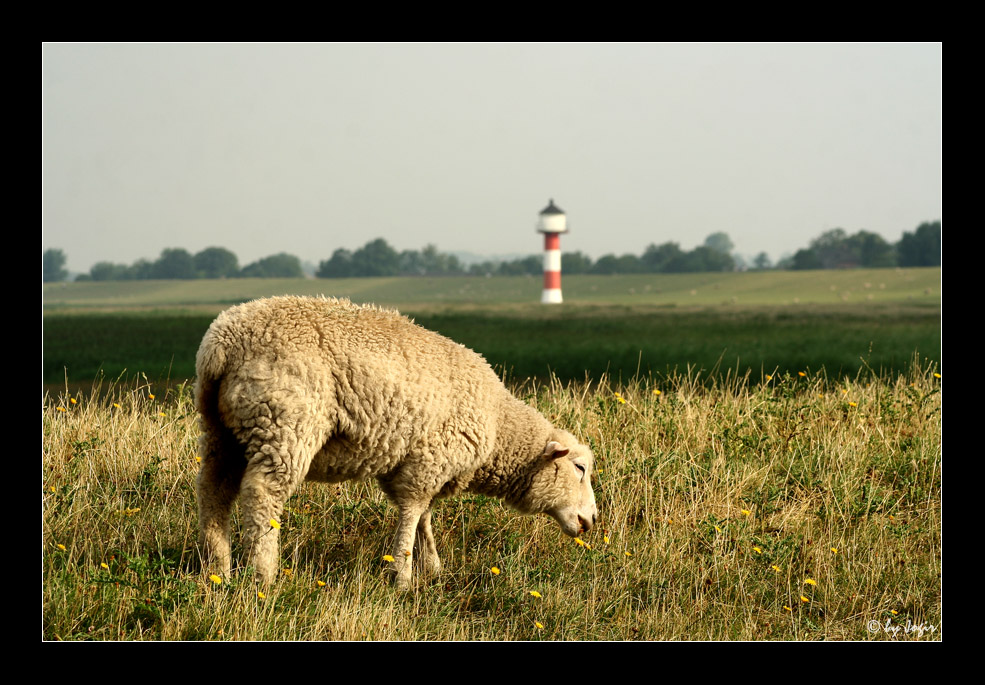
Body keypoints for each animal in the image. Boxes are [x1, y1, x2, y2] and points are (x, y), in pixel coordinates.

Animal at [191, 294, 592, 588]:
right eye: (580, 468)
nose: (591, 520)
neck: (498, 424)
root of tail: (222, 344)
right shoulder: (429, 460)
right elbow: (413, 512)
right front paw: (403, 575)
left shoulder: (416, 464)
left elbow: (425, 517)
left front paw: (431, 568)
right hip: (284, 423)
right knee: (263, 493)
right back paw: (263, 573)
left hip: (222, 430)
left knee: (214, 490)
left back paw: (218, 569)